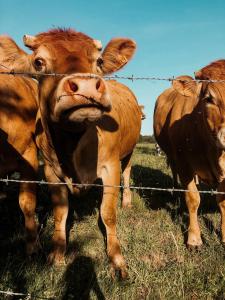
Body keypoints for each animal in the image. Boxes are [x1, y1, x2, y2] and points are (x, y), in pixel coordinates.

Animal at [1, 29, 142, 278]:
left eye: (99, 61)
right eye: (39, 62)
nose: (86, 87)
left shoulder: (111, 167)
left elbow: (108, 213)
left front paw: (117, 259)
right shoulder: (50, 171)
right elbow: (60, 212)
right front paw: (57, 253)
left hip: (129, 152)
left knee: (127, 175)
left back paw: (126, 201)